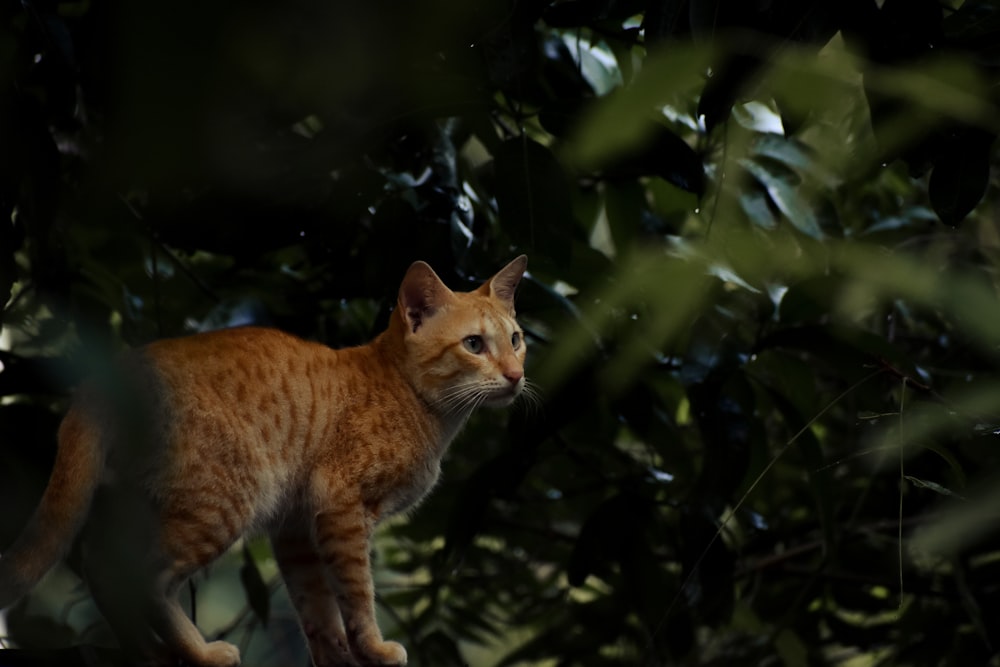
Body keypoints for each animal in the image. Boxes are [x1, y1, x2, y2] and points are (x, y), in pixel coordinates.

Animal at [0, 253, 532, 664]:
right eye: (474, 344)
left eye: (516, 339)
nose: (515, 375)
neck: (414, 400)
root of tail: (110, 373)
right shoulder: (341, 507)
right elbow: (357, 594)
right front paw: (375, 650)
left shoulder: (295, 529)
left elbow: (317, 610)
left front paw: (337, 658)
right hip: (223, 502)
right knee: (145, 578)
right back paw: (200, 653)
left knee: (102, 569)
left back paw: (148, 653)